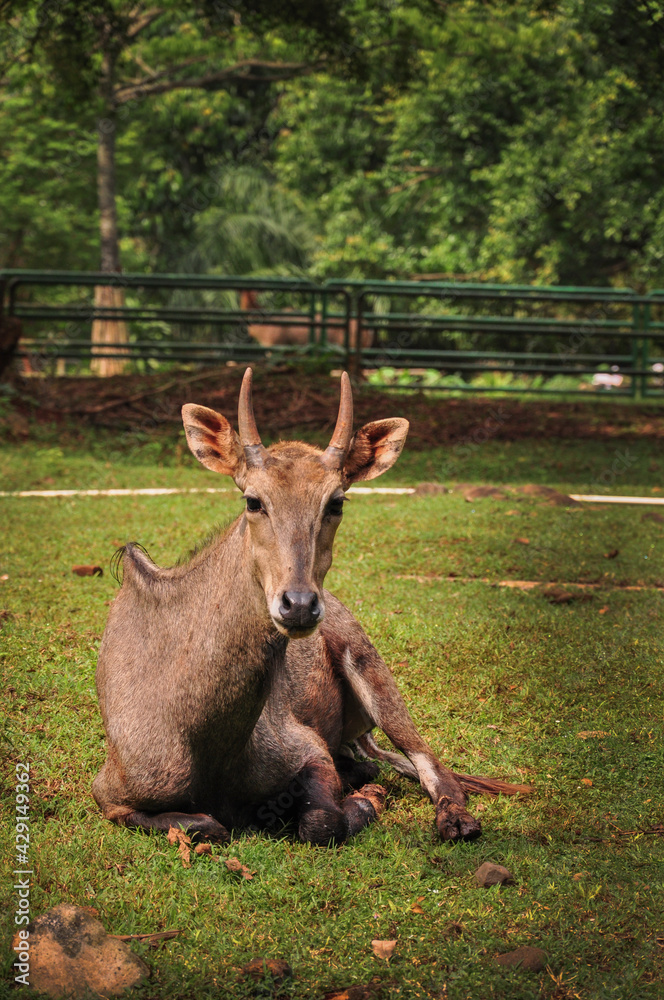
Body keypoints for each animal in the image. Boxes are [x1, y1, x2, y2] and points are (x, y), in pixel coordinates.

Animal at [93, 369, 529, 847]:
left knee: (429, 762)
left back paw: (454, 818)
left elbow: (321, 822)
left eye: (336, 501)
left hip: (372, 671)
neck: (205, 742)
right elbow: (205, 824)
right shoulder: (110, 792)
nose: (298, 605)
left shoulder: (307, 747)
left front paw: (367, 801)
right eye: (253, 500)